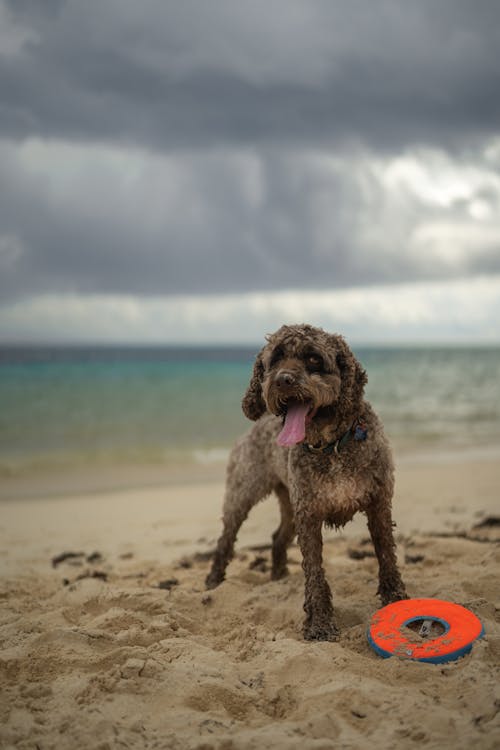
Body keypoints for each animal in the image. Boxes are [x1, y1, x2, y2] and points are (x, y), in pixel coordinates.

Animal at [205, 324, 408, 640]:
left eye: (313, 359)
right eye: (274, 360)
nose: (282, 380)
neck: (332, 444)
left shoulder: (378, 504)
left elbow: (386, 554)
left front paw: (395, 598)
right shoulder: (309, 515)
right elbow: (314, 573)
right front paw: (320, 624)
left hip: (289, 504)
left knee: (277, 538)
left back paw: (279, 578)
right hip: (244, 494)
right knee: (226, 539)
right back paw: (214, 580)